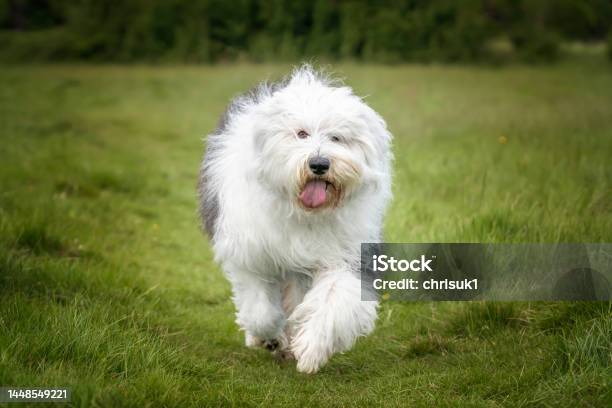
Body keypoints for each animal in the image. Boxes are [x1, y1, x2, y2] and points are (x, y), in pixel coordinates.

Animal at [198, 64, 394, 372]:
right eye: (301, 133)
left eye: (336, 137)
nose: (319, 164)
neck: (303, 211)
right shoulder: (251, 253)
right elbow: (260, 309)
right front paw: (270, 338)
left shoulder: (346, 252)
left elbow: (335, 298)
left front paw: (311, 349)